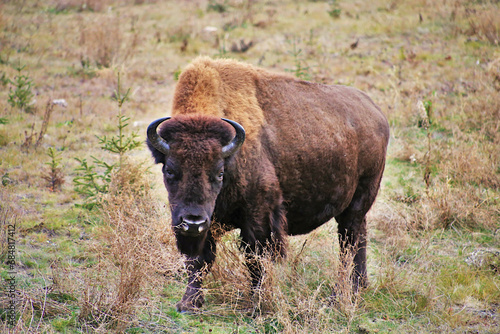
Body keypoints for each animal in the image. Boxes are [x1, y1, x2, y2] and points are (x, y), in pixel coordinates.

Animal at [146, 56, 388, 310]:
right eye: (170, 170)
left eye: (220, 173)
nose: (193, 222)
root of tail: (376, 112)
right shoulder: (205, 224)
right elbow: (199, 260)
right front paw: (189, 303)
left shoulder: (258, 216)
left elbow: (255, 259)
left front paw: (257, 304)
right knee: (358, 238)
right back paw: (359, 286)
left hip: (359, 199)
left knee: (349, 242)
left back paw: (340, 293)